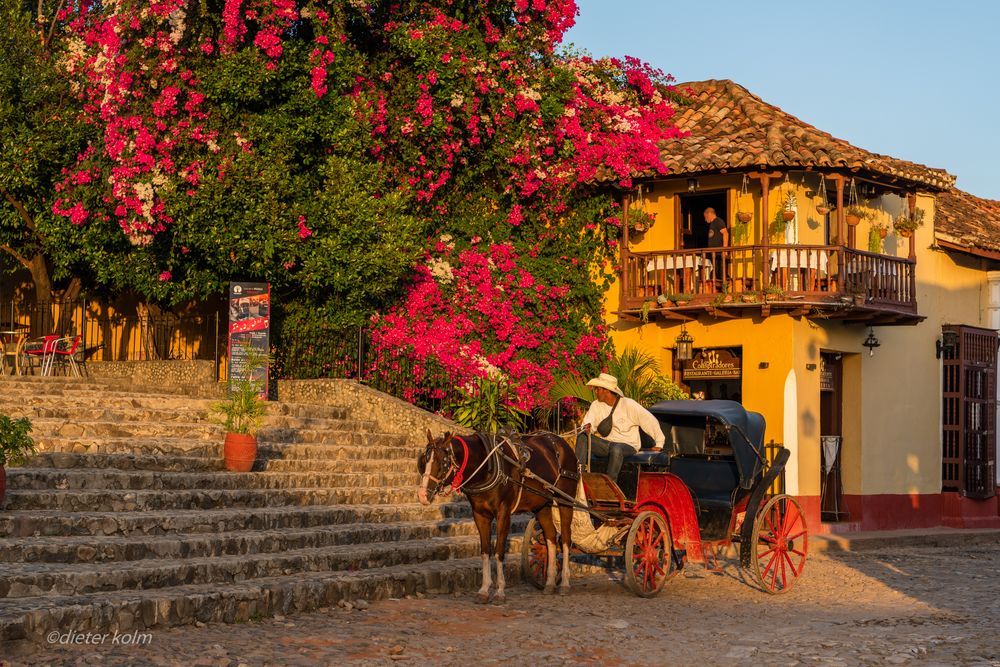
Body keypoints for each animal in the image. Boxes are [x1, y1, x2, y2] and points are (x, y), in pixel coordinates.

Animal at [418, 430, 580, 604]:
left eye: (442, 462)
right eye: (424, 460)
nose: (422, 495)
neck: (485, 466)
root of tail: (561, 442)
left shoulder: (504, 513)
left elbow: (499, 551)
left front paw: (500, 591)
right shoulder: (480, 515)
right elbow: (485, 551)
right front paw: (483, 590)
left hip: (565, 499)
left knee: (565, 538)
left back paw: (564, 582)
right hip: (542, 504)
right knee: (550, 536)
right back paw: (549, 582)